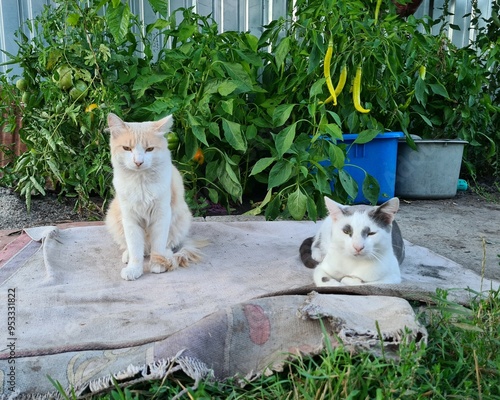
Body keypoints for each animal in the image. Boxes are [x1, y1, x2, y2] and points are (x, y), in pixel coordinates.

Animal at [104, 112, 202, 282]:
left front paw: (158, 264)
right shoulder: (130, 218)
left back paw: (166, 255)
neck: (141, 183)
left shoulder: (161, 215)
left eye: (149, 149)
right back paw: (128, 255)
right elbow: (135, 249)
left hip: (181, 218)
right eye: (127, 148)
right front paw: (134, 269)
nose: (138, 162)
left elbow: (158, 245)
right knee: (136, 248)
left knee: (167, 245)